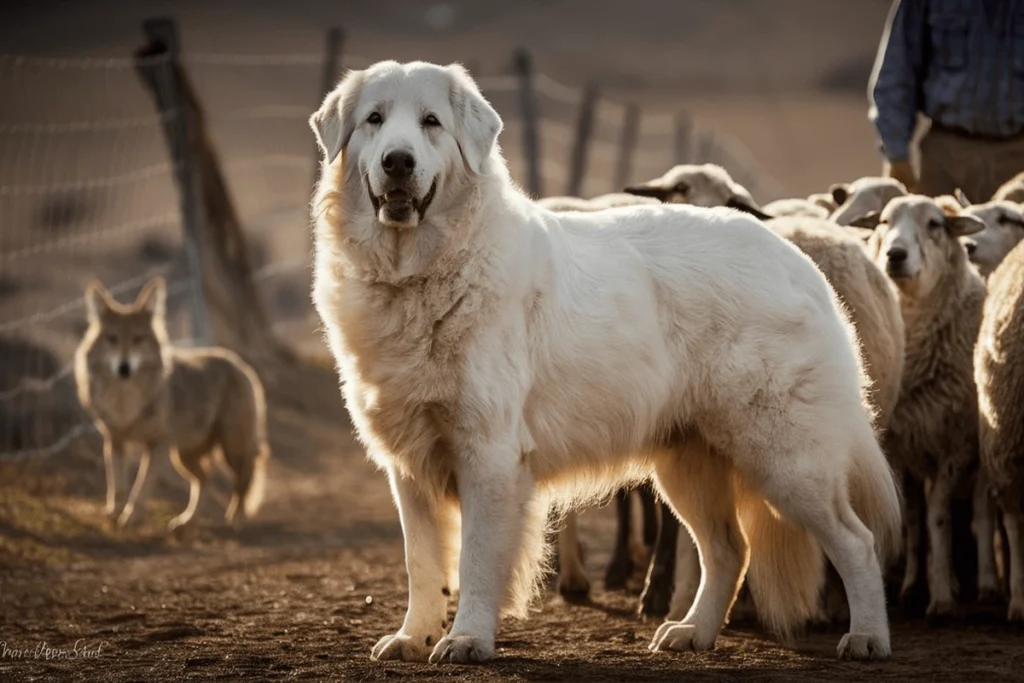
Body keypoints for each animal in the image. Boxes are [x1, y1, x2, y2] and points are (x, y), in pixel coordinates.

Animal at [307, 61, 901, 663]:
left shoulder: (488, 455)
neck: (424, 272)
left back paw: (868, 637)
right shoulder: (409, 465)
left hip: (787, 459)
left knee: (856, 542)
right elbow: (422, 563)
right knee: (729, 550)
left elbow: (474, 560)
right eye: (374, 120)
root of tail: (799, 260)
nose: (397, 162)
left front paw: (467, 638)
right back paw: (692, 632)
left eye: (431, 122)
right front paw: (413, 636)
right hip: (690, 463)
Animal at [864, 194, 991, 618]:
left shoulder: (956, 441)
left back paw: (985, 582)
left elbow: (938, 515)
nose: (895, 254)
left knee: (981, 507)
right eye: (884, 221)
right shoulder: (897, 441)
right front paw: (908, 588)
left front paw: (941, 599)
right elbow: (912, 516)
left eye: (935, 224)